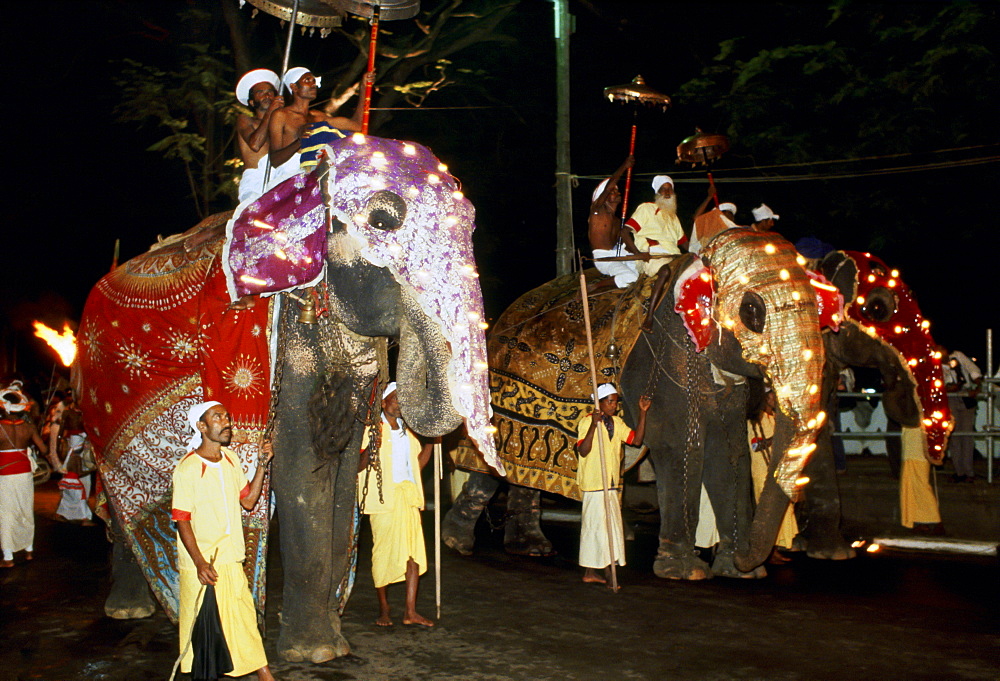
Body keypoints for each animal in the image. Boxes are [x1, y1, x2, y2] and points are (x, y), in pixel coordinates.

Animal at [75, 135, 500, 660]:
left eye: (471, 221)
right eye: (383, 220)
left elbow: (342, 474)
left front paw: (333, 640)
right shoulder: (286, 352)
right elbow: (303, 472)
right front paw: (315, 652)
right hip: (100, 406)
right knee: (122, 500)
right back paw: (129, 611)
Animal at [450, 230, 832, 580]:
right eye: (753, 312)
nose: (749, 558)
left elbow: (729, 453)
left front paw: (740, 574)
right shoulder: (669, 362)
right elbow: (684, 449)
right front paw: (685, 573)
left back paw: (531, 548)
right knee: (491, 466)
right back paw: (459, 544)